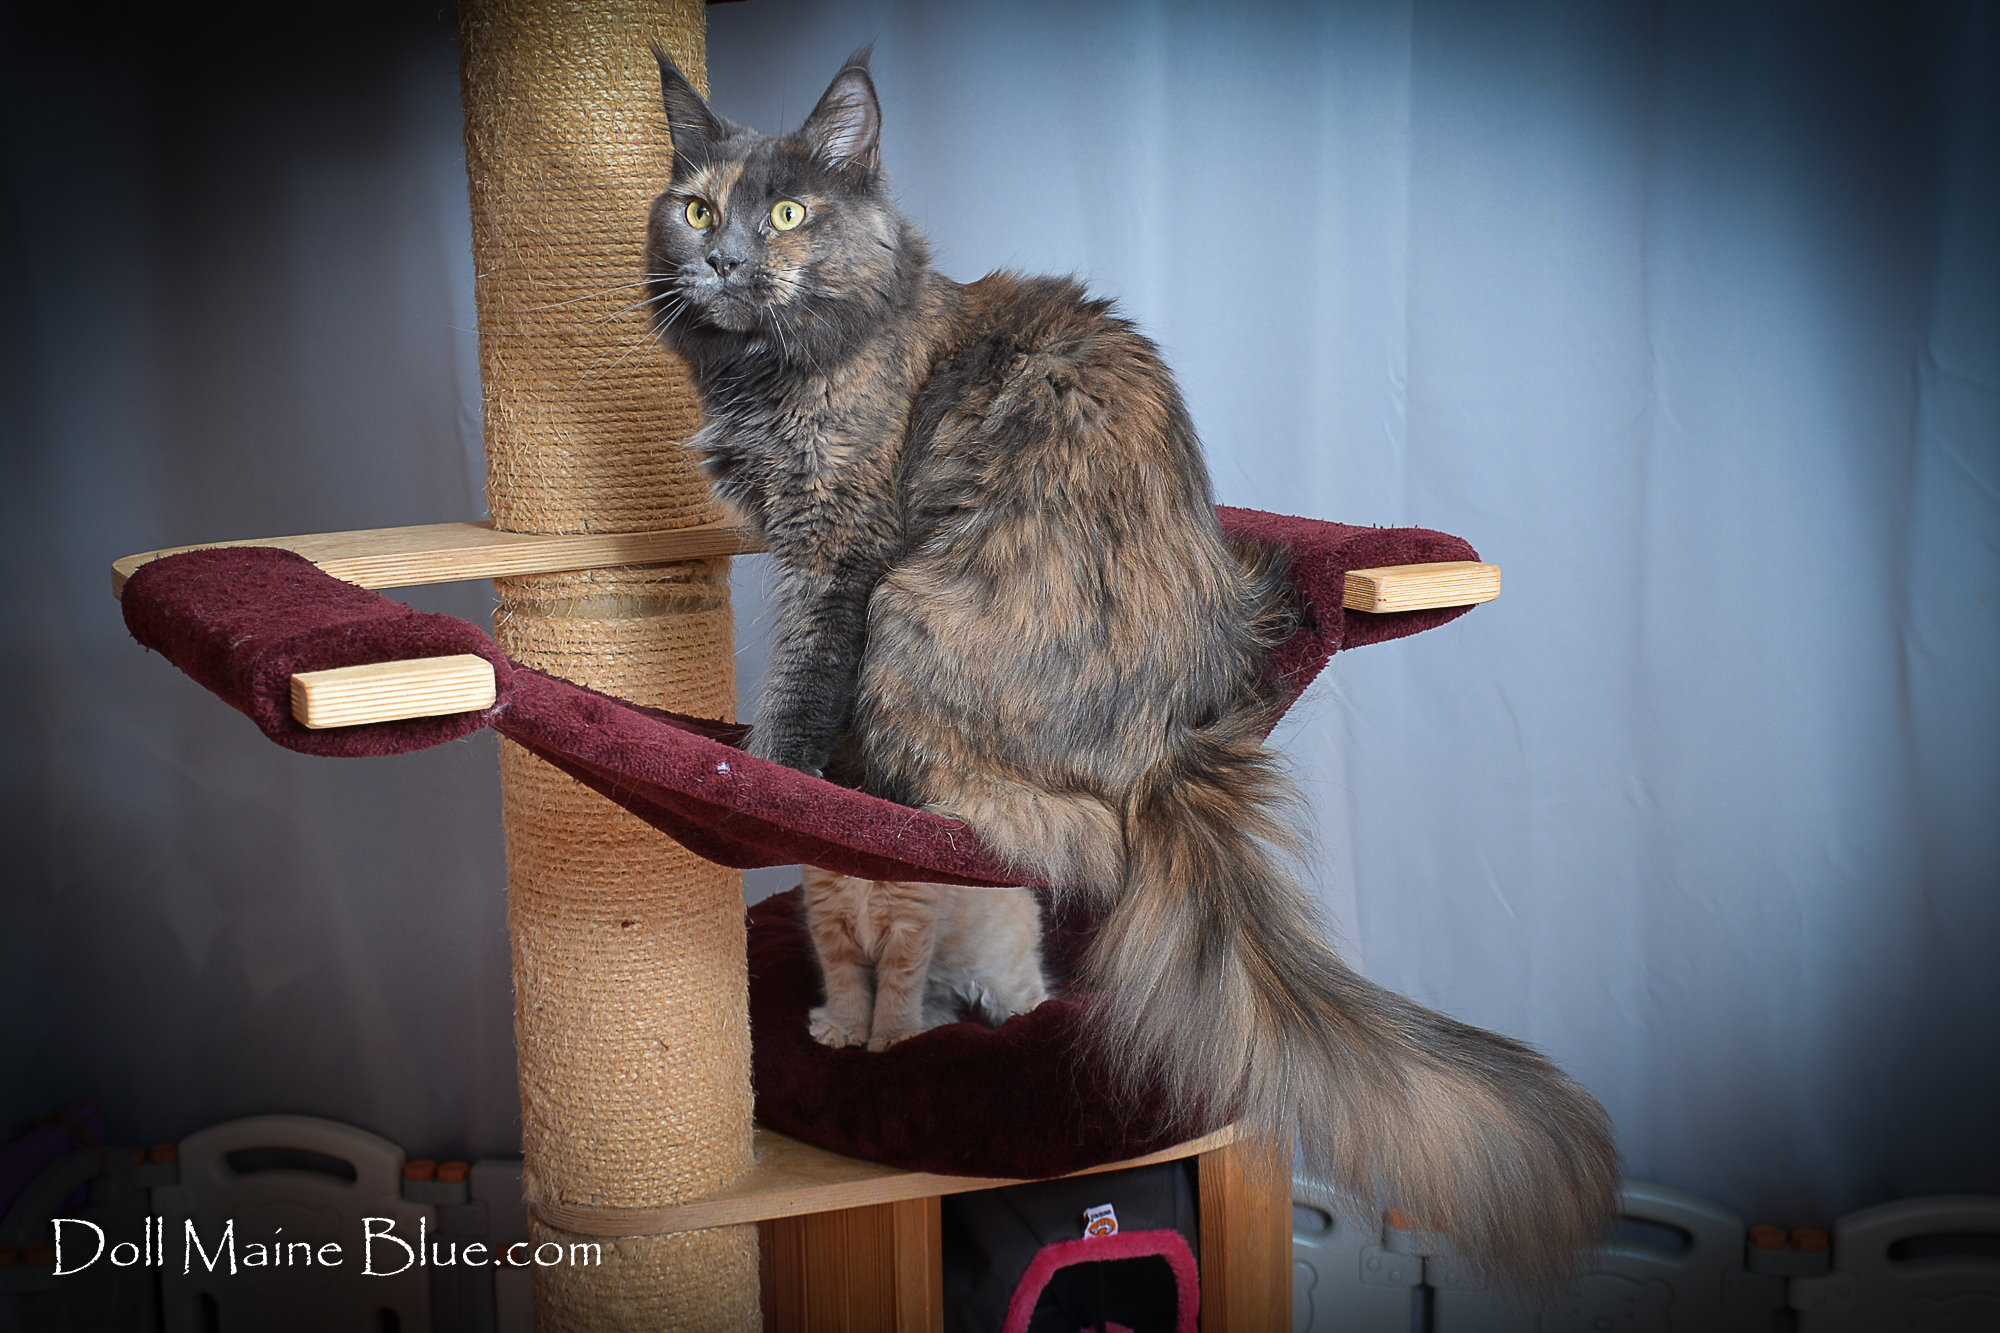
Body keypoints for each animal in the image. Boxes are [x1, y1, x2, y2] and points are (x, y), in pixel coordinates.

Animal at [799, 867, 1050, 1051]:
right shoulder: (831, 924)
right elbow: (844, 986)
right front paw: (842, 1027)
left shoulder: (909, 927)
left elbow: (897, 994)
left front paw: (894, 1038)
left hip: (1007, 980)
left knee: (1032, 997)